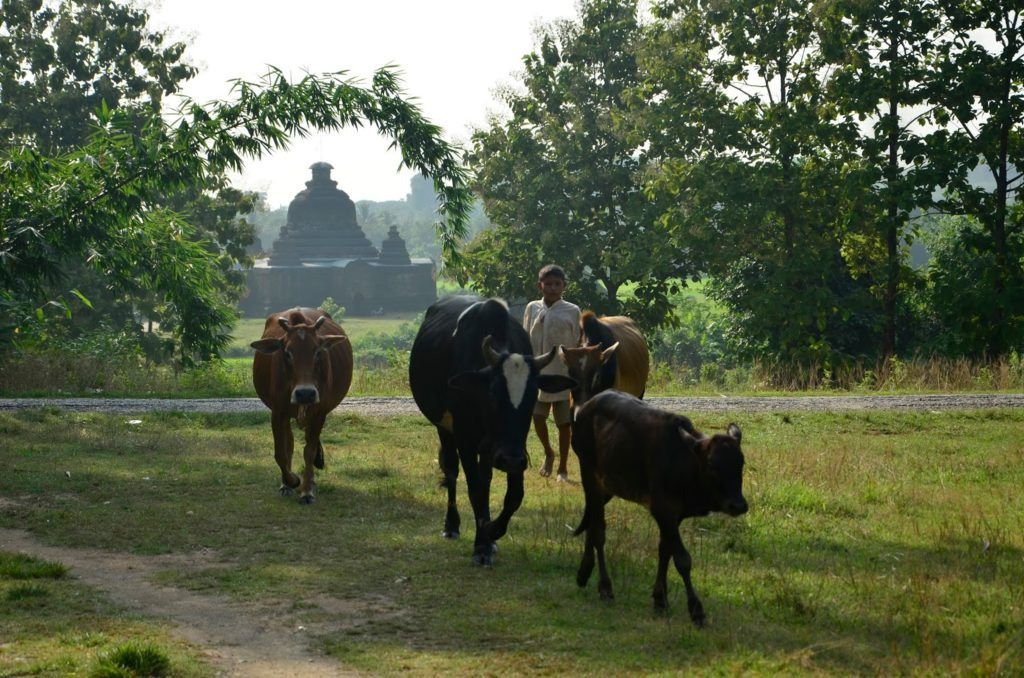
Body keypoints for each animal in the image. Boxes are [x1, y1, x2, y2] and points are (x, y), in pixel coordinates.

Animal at [250, 307, 352, 503]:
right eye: (287, 353)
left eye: (318, 352)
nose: (305, 393)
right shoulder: (278, 412)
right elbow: (281, 452)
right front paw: (291, 481)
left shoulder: (319, 412)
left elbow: (309, 451)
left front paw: (306, 490)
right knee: (289, 443)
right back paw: (286, 484)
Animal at [411, 297, 581, 569]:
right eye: (492, 394)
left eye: (532, 396)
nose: (508, 459)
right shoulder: (466, 438)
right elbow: (475, 490)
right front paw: (481, 546)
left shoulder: (516, 447)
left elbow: (514, 494)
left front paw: (492, 532)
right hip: (444, 429)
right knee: (451, 470)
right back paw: (452, 525)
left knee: (486, 477)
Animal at [573, 391, 749, 630]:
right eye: (713, 465)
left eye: (741, 463)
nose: (738, 505)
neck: (685, 463)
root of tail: (587, 406)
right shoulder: (662, 508)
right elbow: (682, 559)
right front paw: (696, 610)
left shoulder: (675, 515)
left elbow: (665, 550)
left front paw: (660, 599)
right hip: (589, 474)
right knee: (599, 532)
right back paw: (605, 587)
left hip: (605, 488)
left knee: (592, 524)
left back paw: (584, 573)